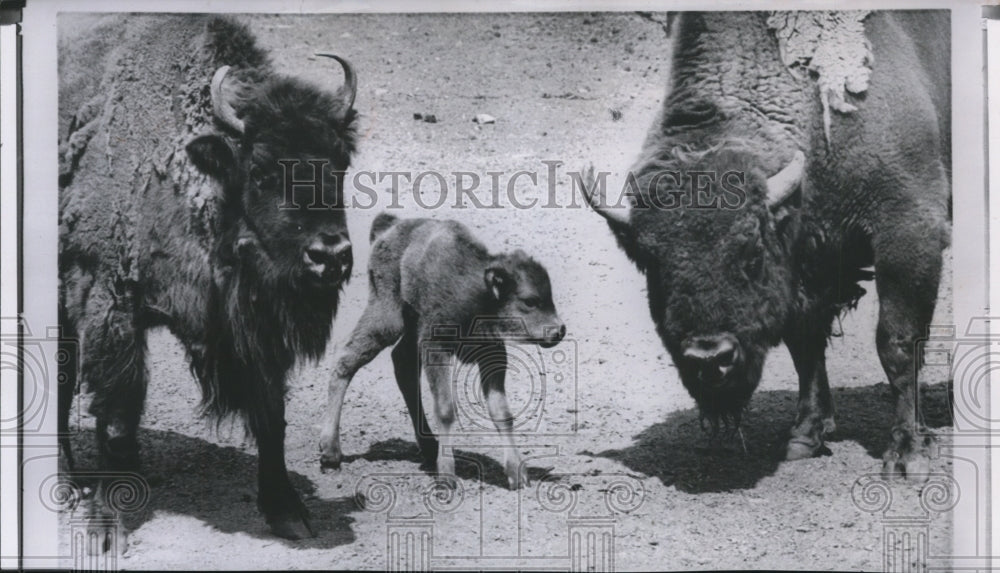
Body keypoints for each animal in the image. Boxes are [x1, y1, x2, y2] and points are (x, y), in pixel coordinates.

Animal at [58, 15, 360, 548]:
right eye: (260, 170)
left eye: (340, 163)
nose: (330, 257)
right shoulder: (110, 307)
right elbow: (115, 416)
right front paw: (105, 529)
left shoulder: (257, 331)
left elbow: (271, 417)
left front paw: (289, 513)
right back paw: (69, 483)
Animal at [318, 212, 564, 490]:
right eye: (530, 301)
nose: (559, 330)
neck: (476, 292)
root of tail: (390, 227)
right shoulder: (435, 348)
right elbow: (445, 410)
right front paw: (447, 476)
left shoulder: (491, 354)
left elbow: (502, 412)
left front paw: (517, 474)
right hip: (388, 319)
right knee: (346, 360)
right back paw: (330, 453)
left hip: (411, 325)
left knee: (402, 364)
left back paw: (428, 447)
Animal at [584, 11, 948, 480]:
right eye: (651, 265)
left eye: (751, 254)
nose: (709, 358)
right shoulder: (805, 262)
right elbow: (805, 345)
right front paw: (805, 436)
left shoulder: (909, 229)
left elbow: (898, 343)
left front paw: (908, 453)